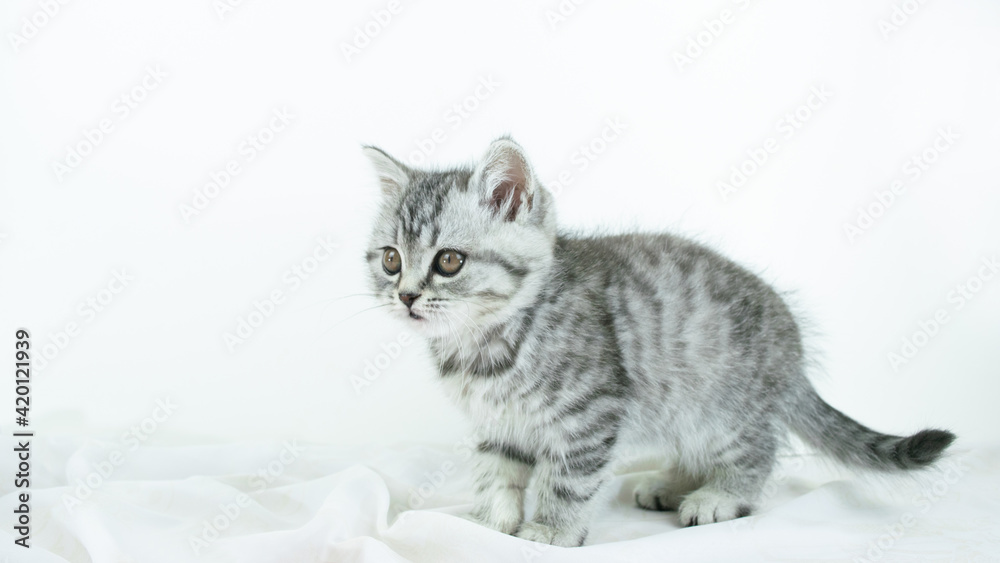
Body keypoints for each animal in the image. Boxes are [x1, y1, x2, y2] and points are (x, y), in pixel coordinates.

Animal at [364, 135, 956, 548]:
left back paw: (717, 496)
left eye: (449, 261)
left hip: (720, 408)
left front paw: (552, 530)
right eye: (391, 259)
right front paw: (490, 522)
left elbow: (567, 480)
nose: (406, 296)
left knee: (757, 452)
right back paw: (671, 485)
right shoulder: (498, 423)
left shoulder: (591, 414)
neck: (485, 342)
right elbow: (496, 472)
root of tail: (793, 348)